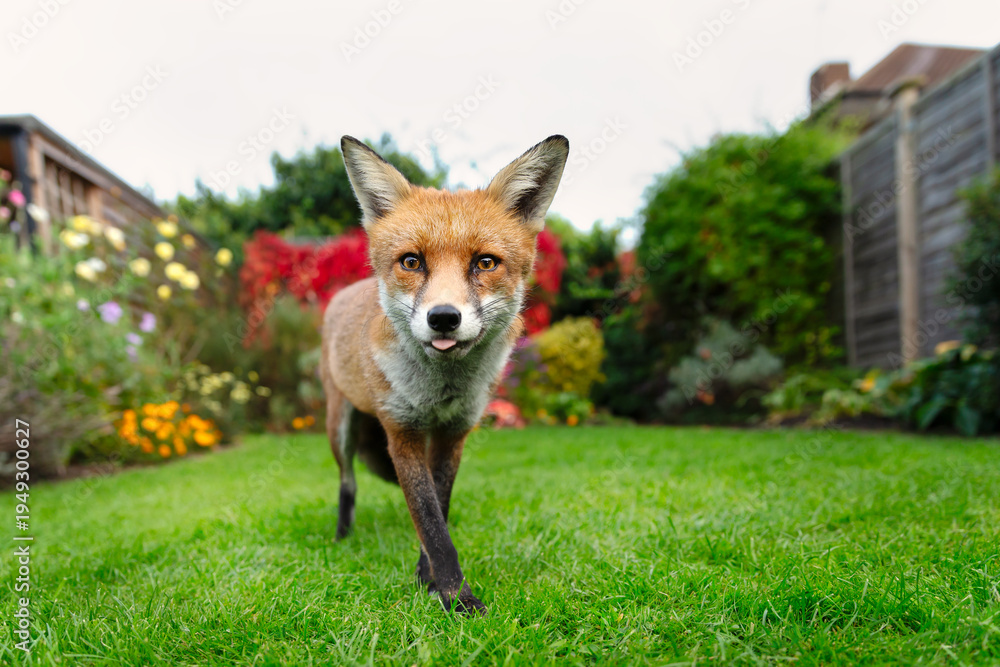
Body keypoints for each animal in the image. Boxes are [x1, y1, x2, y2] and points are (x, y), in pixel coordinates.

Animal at [320, 134, 569, 615]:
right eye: (411, 262)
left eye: (485, 263)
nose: (443, 318)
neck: (441, 391)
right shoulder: (402, 433)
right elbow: (432, 523)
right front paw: (458, 599)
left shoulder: (454, 434)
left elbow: (439, 509)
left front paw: (429, 580)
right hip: (339, 427)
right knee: (347, 483)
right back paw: (342, 537)